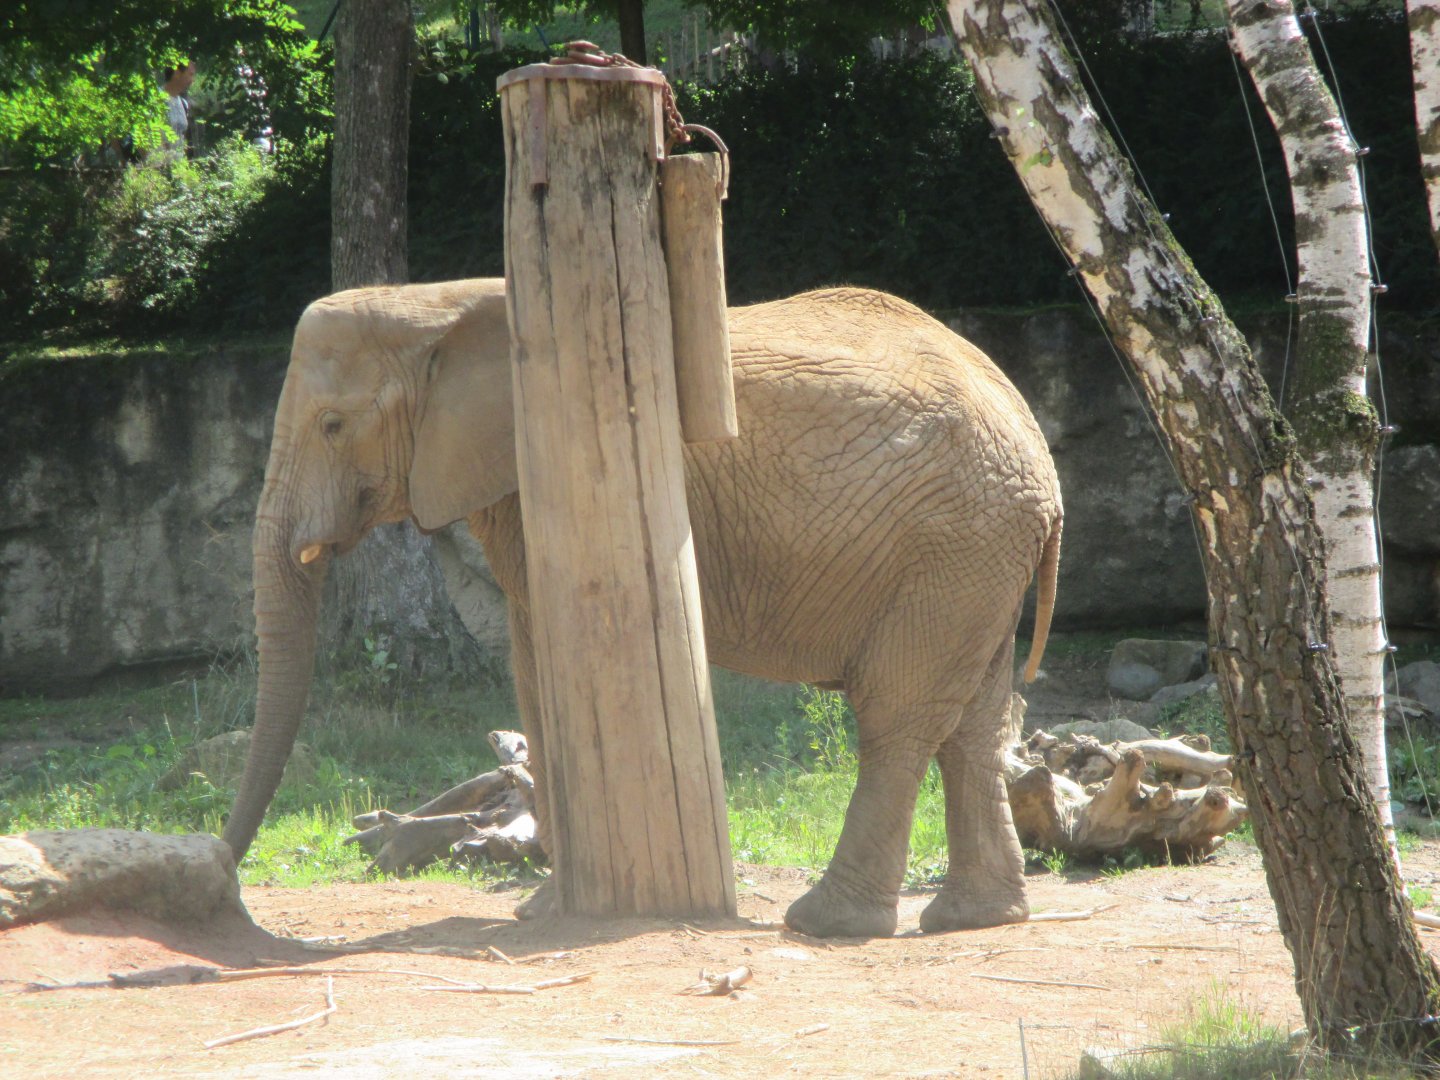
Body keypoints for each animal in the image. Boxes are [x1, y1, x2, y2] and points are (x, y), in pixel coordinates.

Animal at [223, 277, 1063, 939]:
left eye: (333, 425)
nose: (224, 874)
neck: (439, 302)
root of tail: (1035, 445)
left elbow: (545, 669)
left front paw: (550, 910)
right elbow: (529, 667)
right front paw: (541, 910)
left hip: (952, 545)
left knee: (898, 717)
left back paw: (827, 924)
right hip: (977, 558)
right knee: (973, 723)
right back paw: (974, 918)